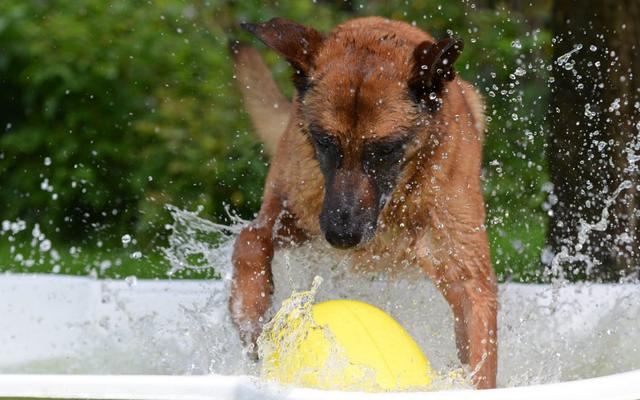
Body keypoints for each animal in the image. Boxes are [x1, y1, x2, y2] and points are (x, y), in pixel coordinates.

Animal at [228, 17, 498, 390]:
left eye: (384, 150)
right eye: (325, 142)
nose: (343, 236)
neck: (395, 203)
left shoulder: (467, 276)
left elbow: (480, 349)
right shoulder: (295, 214)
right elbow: (250, 239)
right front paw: (250, 312)